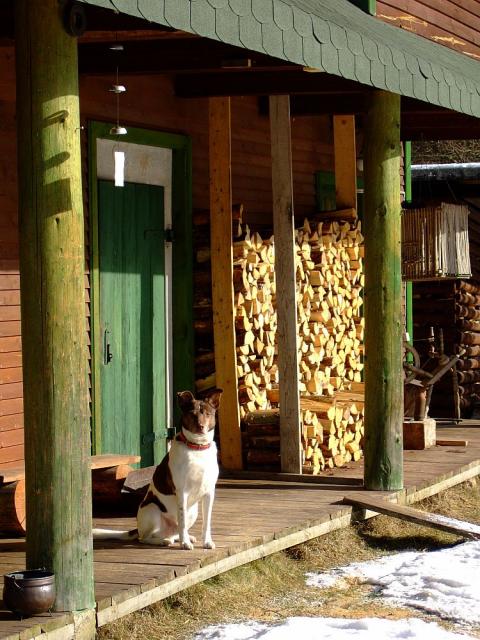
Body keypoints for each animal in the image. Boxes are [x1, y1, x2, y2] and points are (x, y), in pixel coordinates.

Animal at [93, 388, 222, 549]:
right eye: (192, 414)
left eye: (208, 414)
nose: (200, 427)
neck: (197, 448)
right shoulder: (182, 492)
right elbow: (182, 521)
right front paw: (185, 543)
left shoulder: (209, 492)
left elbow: (206, 523)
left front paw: (207, 542)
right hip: (152, 509)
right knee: (145, 538)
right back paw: (164, 541)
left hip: (193, 512)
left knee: (175, 532)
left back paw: (181, 537)